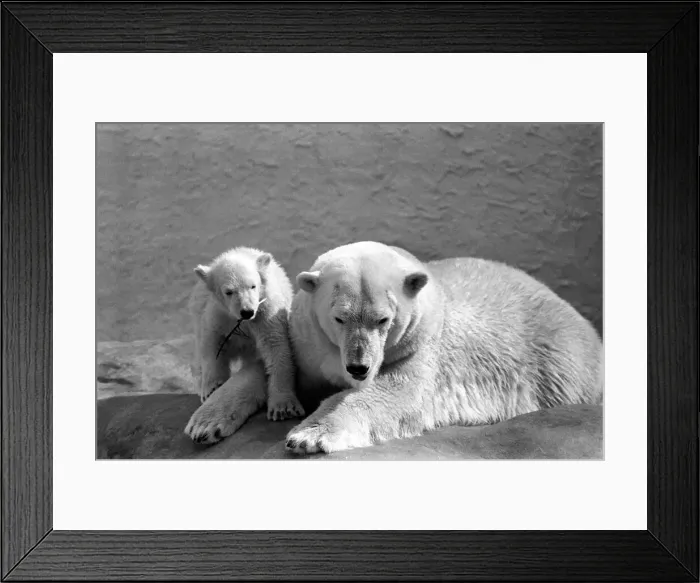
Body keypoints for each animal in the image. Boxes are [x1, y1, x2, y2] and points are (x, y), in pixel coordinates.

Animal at [184, 246, 304, 444]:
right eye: (229, 291)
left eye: (253, 286)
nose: (246, 311)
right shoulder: (217, 314)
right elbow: (212, 348)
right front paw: (211, 388)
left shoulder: (266, 312)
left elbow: (276, 347)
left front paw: (283, 408)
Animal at [283, 241, 602, 454]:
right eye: (339, 318)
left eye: (383, 319)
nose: (359, 368)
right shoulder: (307, 344)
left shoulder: (419, 343)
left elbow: (397, 393)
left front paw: (308, 436)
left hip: (557, 357)